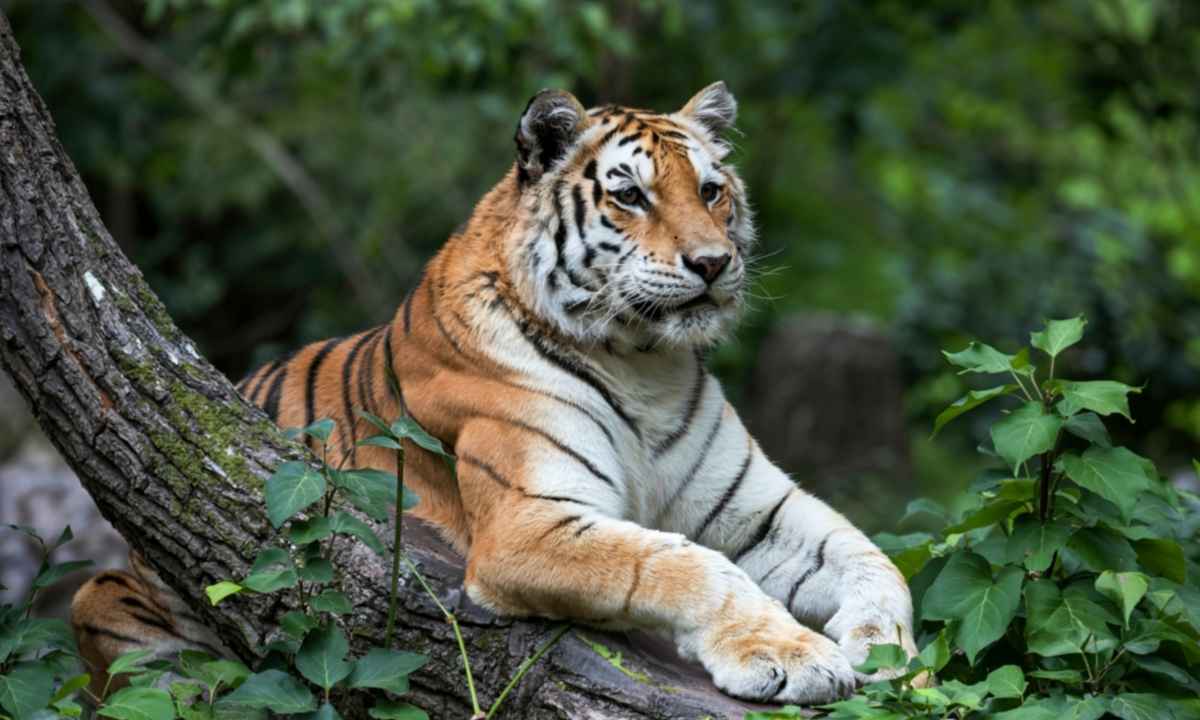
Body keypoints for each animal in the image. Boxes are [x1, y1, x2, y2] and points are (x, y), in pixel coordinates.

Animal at [72, 82, 918, 705]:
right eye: (631, 197)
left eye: (711, 191)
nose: (713, 263)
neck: (647, 362)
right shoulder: (528, 521)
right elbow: (687, 566)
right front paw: (793, 655)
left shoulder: (758, 509)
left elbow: (873, 560)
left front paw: (892, 658)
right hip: (106, 596)